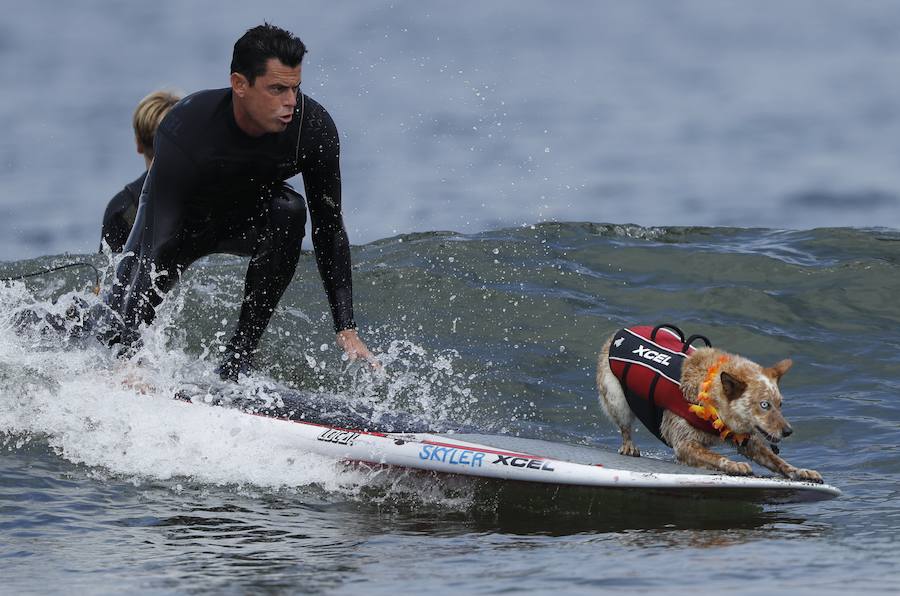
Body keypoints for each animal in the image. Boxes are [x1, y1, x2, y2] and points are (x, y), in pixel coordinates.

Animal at [596, 324, 824, 482]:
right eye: (764, 405)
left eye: (780, 404)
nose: (788, 431)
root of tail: (617, 333)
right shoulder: (684, 443)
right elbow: (714, 456)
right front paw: (734, 464)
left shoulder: (747, 441)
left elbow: (778, 461)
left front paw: (800, 470)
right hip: (616, 399)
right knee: (625, 426)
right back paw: (628, 446)